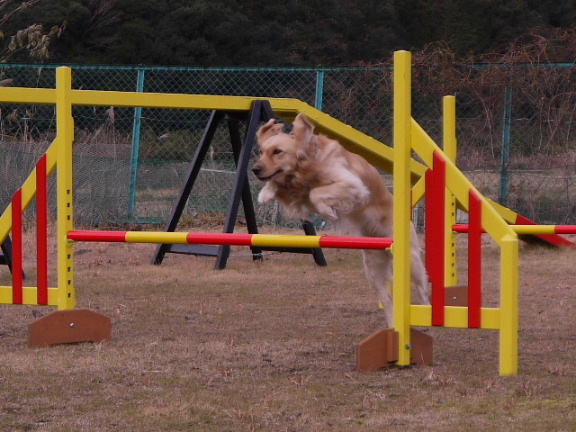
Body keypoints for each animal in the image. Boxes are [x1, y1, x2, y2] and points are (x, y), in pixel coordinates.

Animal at [252, 113, 428, 326]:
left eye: (277, 151)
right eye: (261, 151)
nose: (255, 169)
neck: (310, 164)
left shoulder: (353, 185)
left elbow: (317, 194)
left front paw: (328, 211)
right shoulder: (299, 193)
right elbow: (292, 190)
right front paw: (266, 193)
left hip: (411, 259)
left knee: (422, 289)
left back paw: (428, 314)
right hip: (372, 268)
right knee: (387, 298)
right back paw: (393, 326)